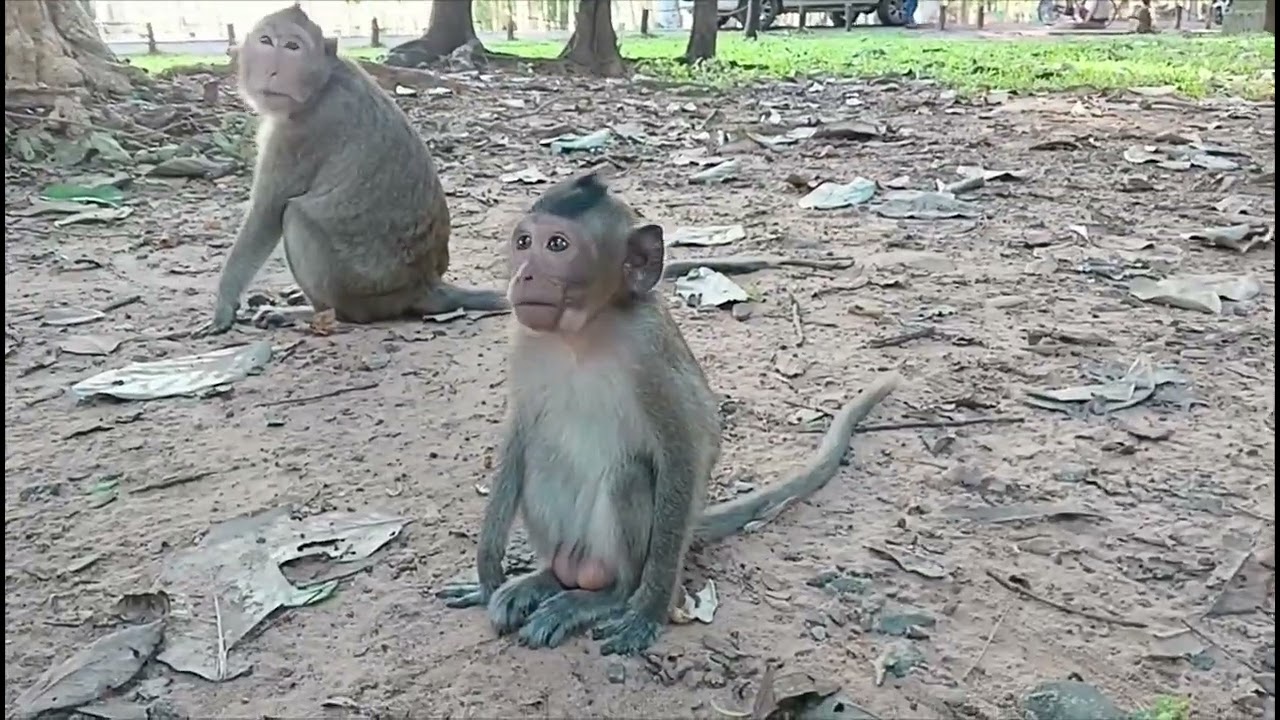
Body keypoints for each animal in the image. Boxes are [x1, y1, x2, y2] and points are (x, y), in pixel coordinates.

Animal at [192, 5, 506, 337]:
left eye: (292, 46)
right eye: (266, 41)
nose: (272, 71)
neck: (323, 83)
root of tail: (424, 285)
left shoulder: (301, 133)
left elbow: (266, 214)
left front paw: (223, 308)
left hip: (357, 287)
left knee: (295, 216)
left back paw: (319, 314)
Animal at [437, 173, 901, 656]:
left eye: (558, 245)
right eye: (524, 242)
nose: (524, 273)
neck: (581, 334)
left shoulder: (650, 355)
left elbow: (687, 451)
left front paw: (649, 610)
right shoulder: (524, 343)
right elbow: (519, 435)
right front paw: (487, 574)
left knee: (628, 481)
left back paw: (601, 597)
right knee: (540, 465)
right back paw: (544, 580)